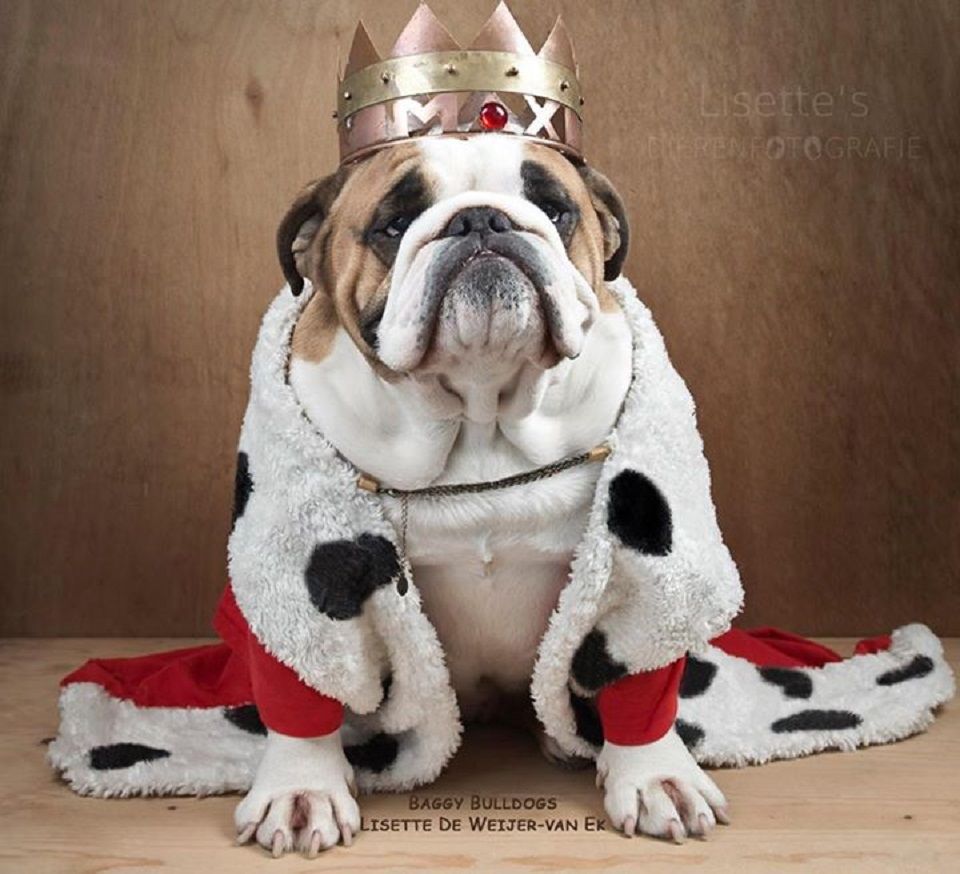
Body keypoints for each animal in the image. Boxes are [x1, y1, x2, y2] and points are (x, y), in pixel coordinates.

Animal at [233, 133, 729, 855]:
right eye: (394, 225)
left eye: (554, 210)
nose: (481, 221)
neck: (480, 420)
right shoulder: (295, 566)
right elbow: (303, 684)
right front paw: (302, 788)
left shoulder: (640, 570)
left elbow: (635, 671)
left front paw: (656, 774)